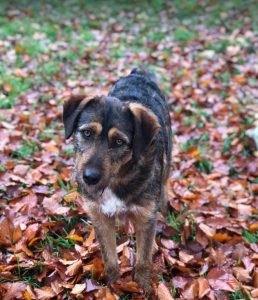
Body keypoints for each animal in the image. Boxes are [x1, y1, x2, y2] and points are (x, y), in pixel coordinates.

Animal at [62, 67, 171, 292]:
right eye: (87, 133)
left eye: (119, 142)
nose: (89, 178)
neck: (117, 179)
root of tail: (138, 73)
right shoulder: (99, 217)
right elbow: (110, 260)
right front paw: (113, 287)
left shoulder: (145, 218)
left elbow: (143, 261)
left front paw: (144, 289)